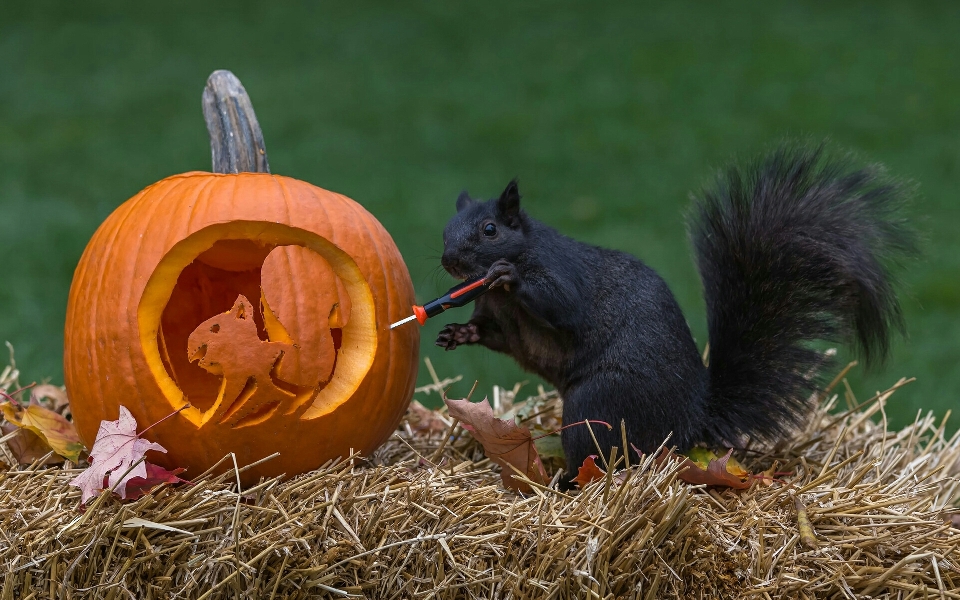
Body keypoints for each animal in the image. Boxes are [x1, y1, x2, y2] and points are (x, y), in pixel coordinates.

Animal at [436, 145, 916, 478]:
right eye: (445, 230)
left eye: (490, 229)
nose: (449, 260)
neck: (502, 297)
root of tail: (690, 420)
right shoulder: (499, 319)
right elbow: (492, 334)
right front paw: (455, 333)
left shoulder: (563, 273)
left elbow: (561, 303)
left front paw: (508, 274)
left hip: (598, 403)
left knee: (601, 456)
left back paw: (567, 482)